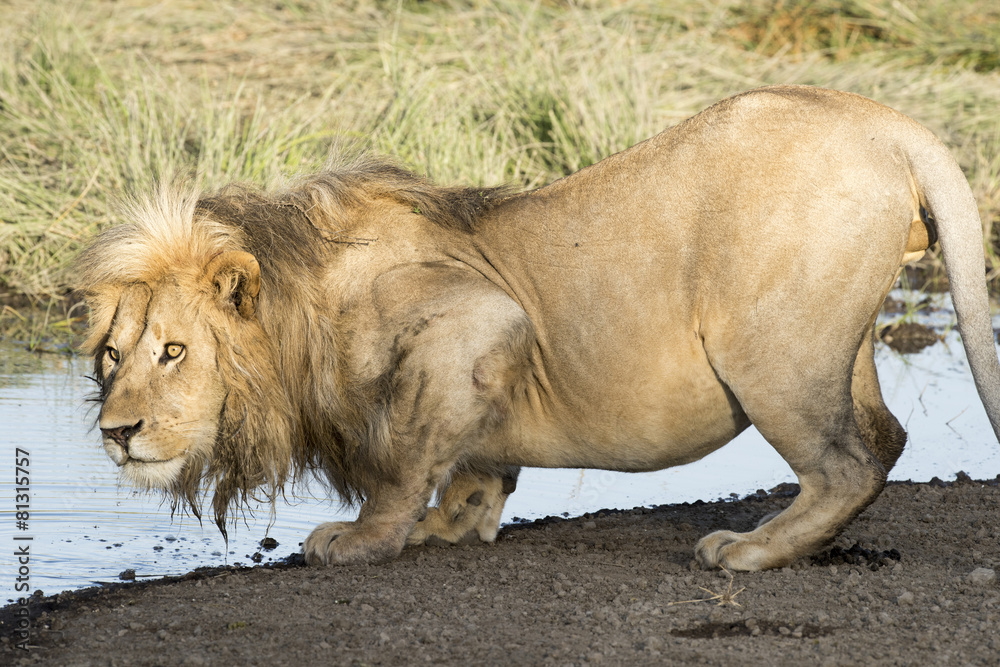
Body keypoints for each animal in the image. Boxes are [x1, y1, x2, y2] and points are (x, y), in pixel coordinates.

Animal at [77, 85, 1000, 571]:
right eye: (111, 356)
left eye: (173, 351)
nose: (116, 433)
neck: (299, 307)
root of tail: (886, 121)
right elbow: (472, 460)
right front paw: (456, 521)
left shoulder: (478, 315)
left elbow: (405, 455)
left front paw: (367, 537)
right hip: (836, 345)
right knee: (885, 436)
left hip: (771, 352)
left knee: (850, 462)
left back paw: (749, 548)